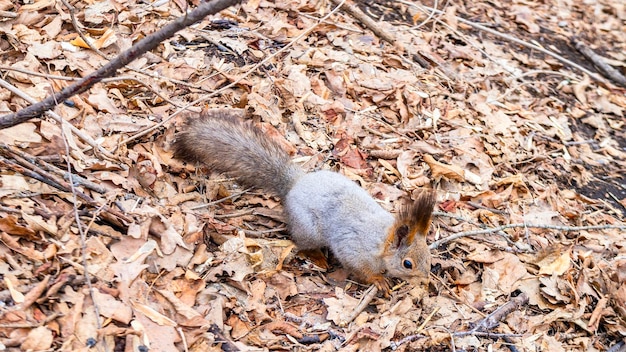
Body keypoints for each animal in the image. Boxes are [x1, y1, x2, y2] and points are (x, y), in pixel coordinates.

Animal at [171, 109, 434, 292]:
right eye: (408, 264)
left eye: (428, 256)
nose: (426, 279)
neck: (382, 241)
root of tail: (296, 183)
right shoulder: (355, 250)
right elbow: (359, 268)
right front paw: (378, 280)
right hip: (308, 229)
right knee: (301, 244)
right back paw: (317, 256)